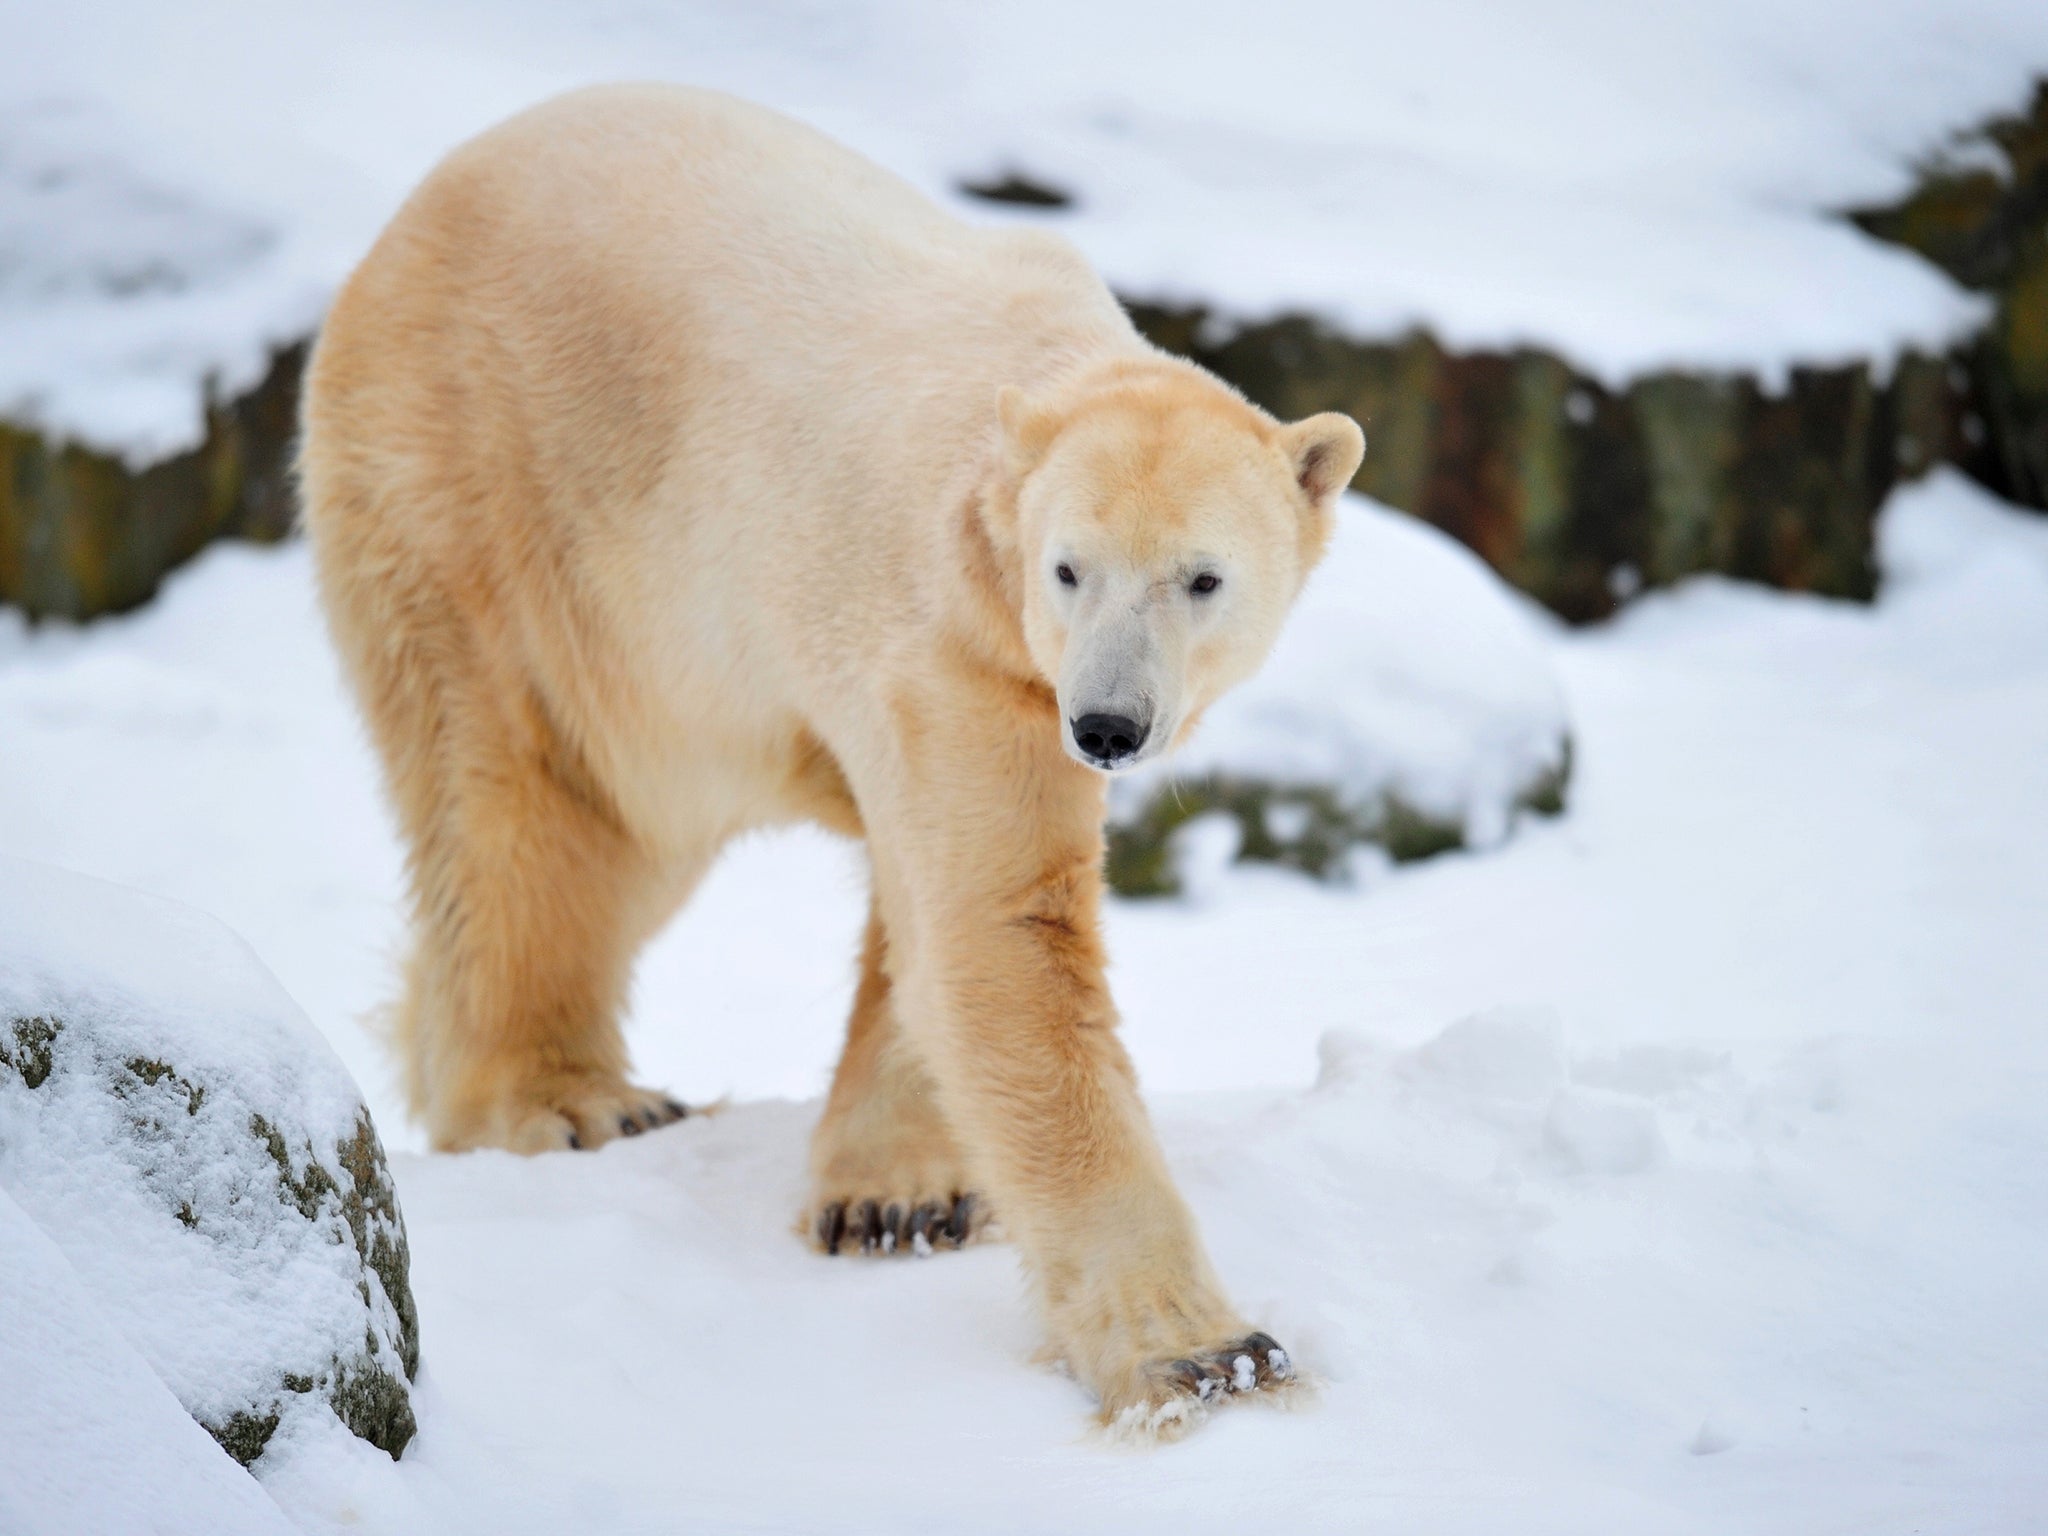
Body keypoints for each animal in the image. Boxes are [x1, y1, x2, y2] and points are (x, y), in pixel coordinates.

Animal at [296, 81, 1359, 1433]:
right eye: (1068, 568)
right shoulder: (953, 646)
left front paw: (898, 1195)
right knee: (528, 808)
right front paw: (1208, 1356)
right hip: (490, 505)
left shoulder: (966, 674)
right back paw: (573, 1102)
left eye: (1202, 578)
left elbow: (930, 919)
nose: (1109, 727)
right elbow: (1004, 931)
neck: (1034, 397)